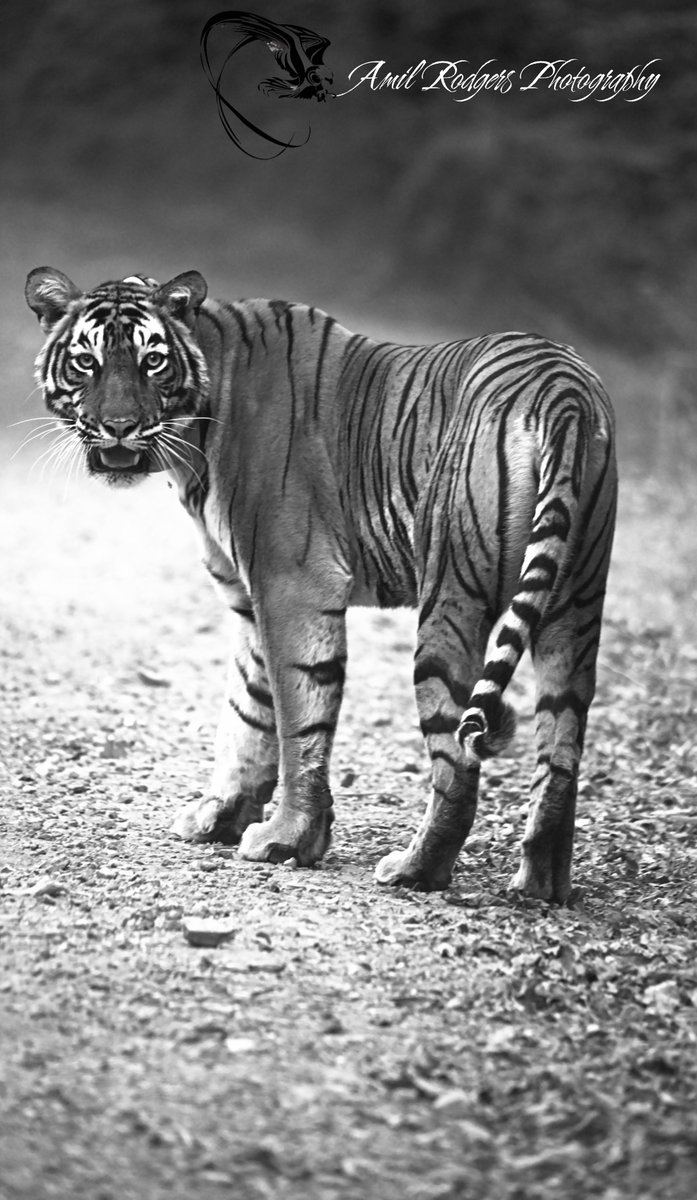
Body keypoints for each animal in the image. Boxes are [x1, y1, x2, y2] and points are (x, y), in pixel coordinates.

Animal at [25, 266, 617, 902]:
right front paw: (220, 815)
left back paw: (415, 869)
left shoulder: (292, 585)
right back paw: (539, 883)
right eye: (86, 362)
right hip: (573, 608)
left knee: (457, 761)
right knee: (561, 751)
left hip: (452, 600)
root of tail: (562, 388)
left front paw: (287, 838)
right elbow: (247, 708)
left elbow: (294, 718)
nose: (119, 427)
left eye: (152, 361)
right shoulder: (247, 597)